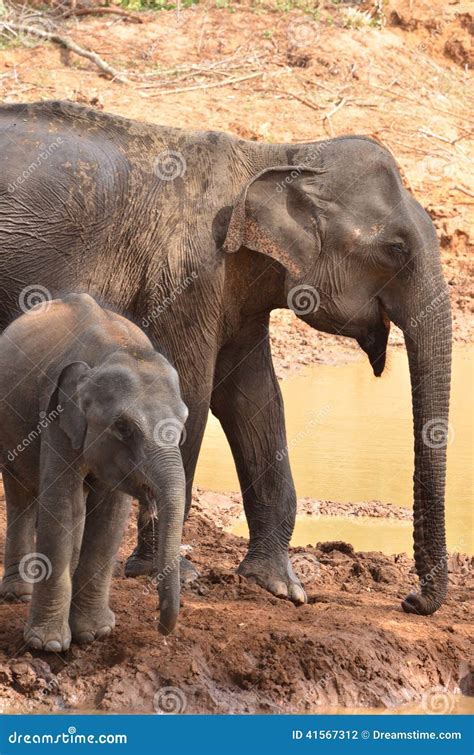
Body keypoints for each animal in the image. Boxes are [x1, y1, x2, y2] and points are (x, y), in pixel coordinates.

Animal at [0, 294, 189, 648]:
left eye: (182, 426)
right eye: (124, 428)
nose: (162, 628)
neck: (116, 347)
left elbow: (110, 514)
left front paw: (94, 634)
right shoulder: (56, 414)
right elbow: (60, 502)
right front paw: (47, 645)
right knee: (22, 494)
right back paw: (18, 595)